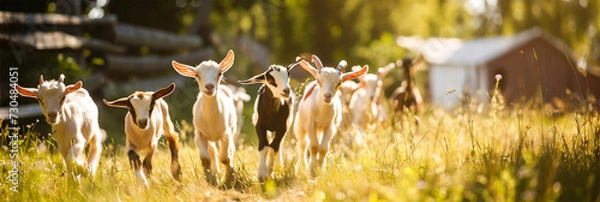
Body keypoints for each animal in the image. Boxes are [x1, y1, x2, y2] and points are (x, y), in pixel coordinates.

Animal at [171, 49, 237, 185]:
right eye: (197, 75)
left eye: (220, 73)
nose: (209, 86)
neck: (211, 120)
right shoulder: (199, 134)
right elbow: (205, 158)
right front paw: (211, 179)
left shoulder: (226, 133)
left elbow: (225, 157)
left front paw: (230, 177)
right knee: (212, 151)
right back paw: (215, 170)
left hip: (232, 128)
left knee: (230, 149)